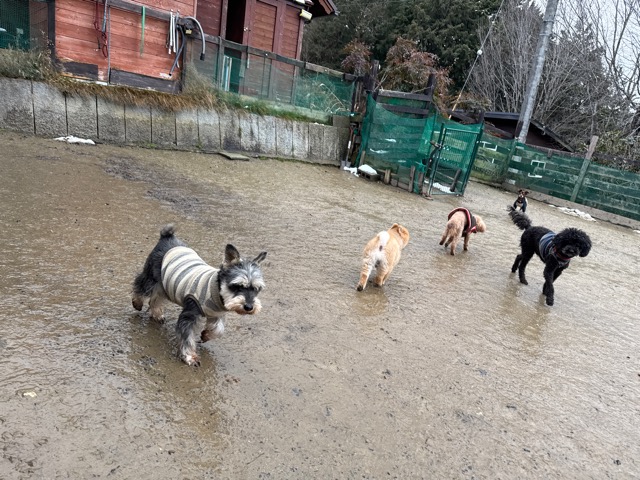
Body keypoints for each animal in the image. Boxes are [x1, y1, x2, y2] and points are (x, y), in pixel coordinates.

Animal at [132, 225, 267, 366]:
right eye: (237, 286)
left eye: (257, 289)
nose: (249, 307)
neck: (216, 292)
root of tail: (168, 237)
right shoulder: (189, 315)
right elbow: (187, 337)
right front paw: (189, 356)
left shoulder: (216, 314)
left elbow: (219, 329)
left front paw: (206, 335)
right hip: (151, 278)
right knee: (140, 286)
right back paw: (137, 302)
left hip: (164, 284)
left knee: (155, 299)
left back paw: (157, 314)